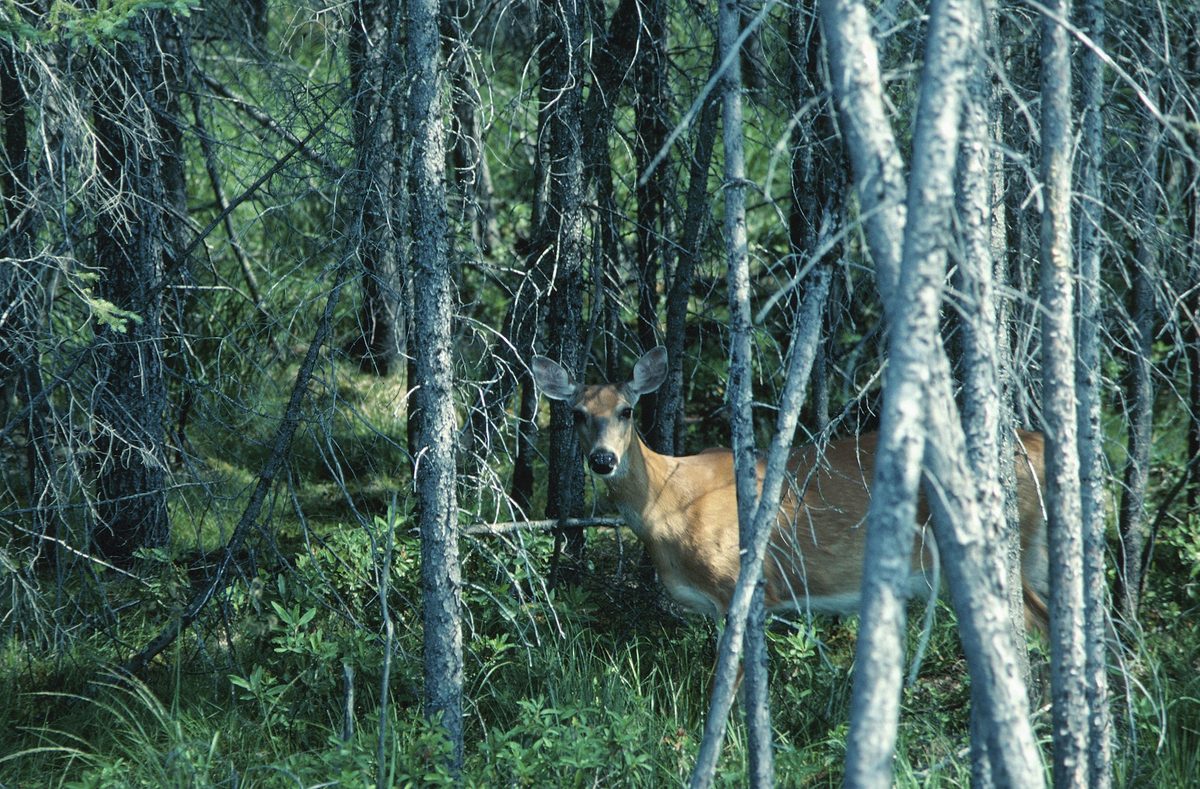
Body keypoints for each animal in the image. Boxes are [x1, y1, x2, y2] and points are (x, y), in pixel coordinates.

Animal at [530, 346, 1051, 635]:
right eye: (576, 413)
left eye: (626, 411)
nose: (602, 460)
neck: (669, 505)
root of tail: (1038, 444)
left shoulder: (741, 586)